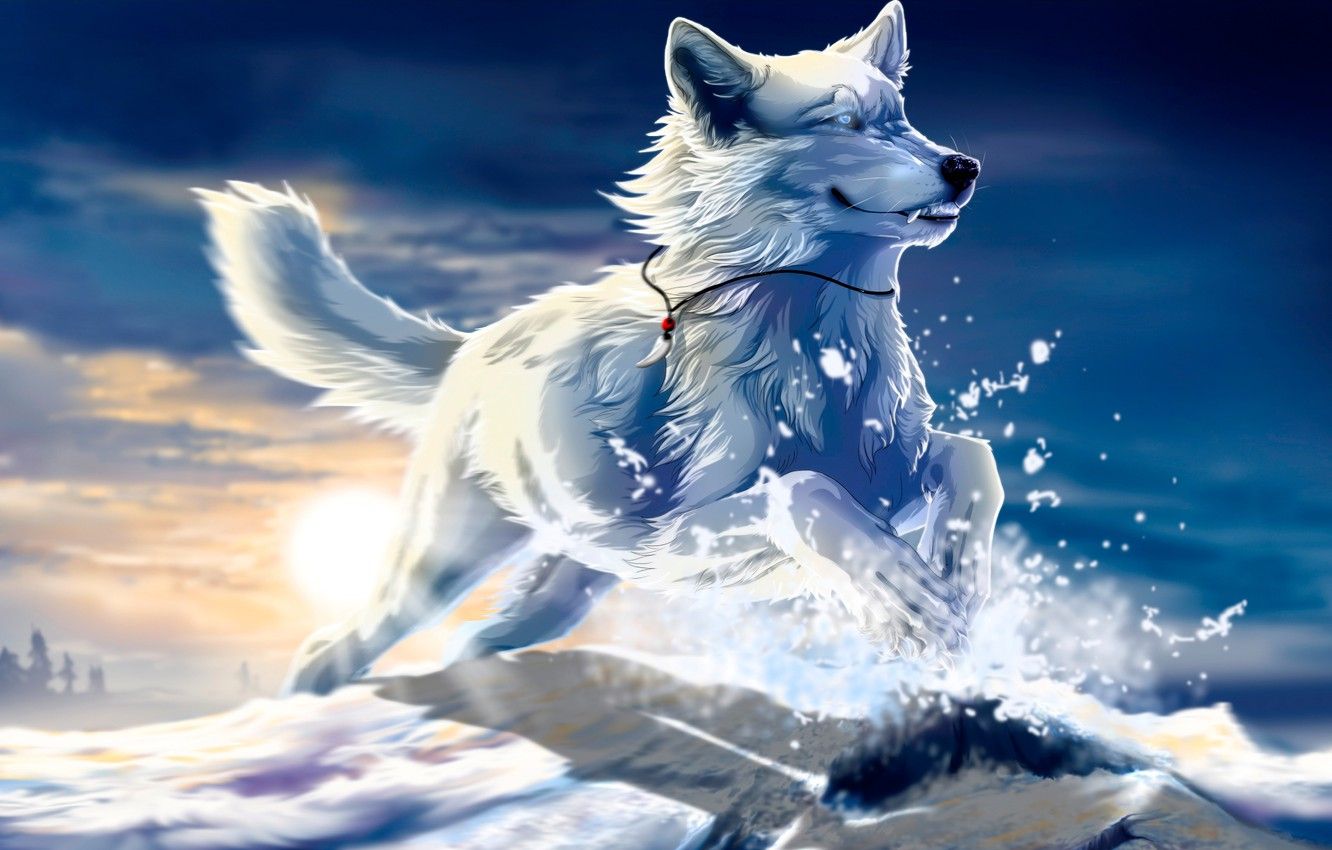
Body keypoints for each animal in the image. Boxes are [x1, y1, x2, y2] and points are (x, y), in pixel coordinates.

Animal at [198, 1, 1003, 695]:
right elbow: (807, 491)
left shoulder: (886, 484)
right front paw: (906, 596)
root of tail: (473, 345)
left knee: (472, 642)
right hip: (445, 564)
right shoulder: (672, 539)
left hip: (567, 585)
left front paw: (956, 579)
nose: (965, 166)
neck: (819, 351)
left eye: (903, 118)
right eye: (845, 122)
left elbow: (971, 458)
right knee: (339, 645)